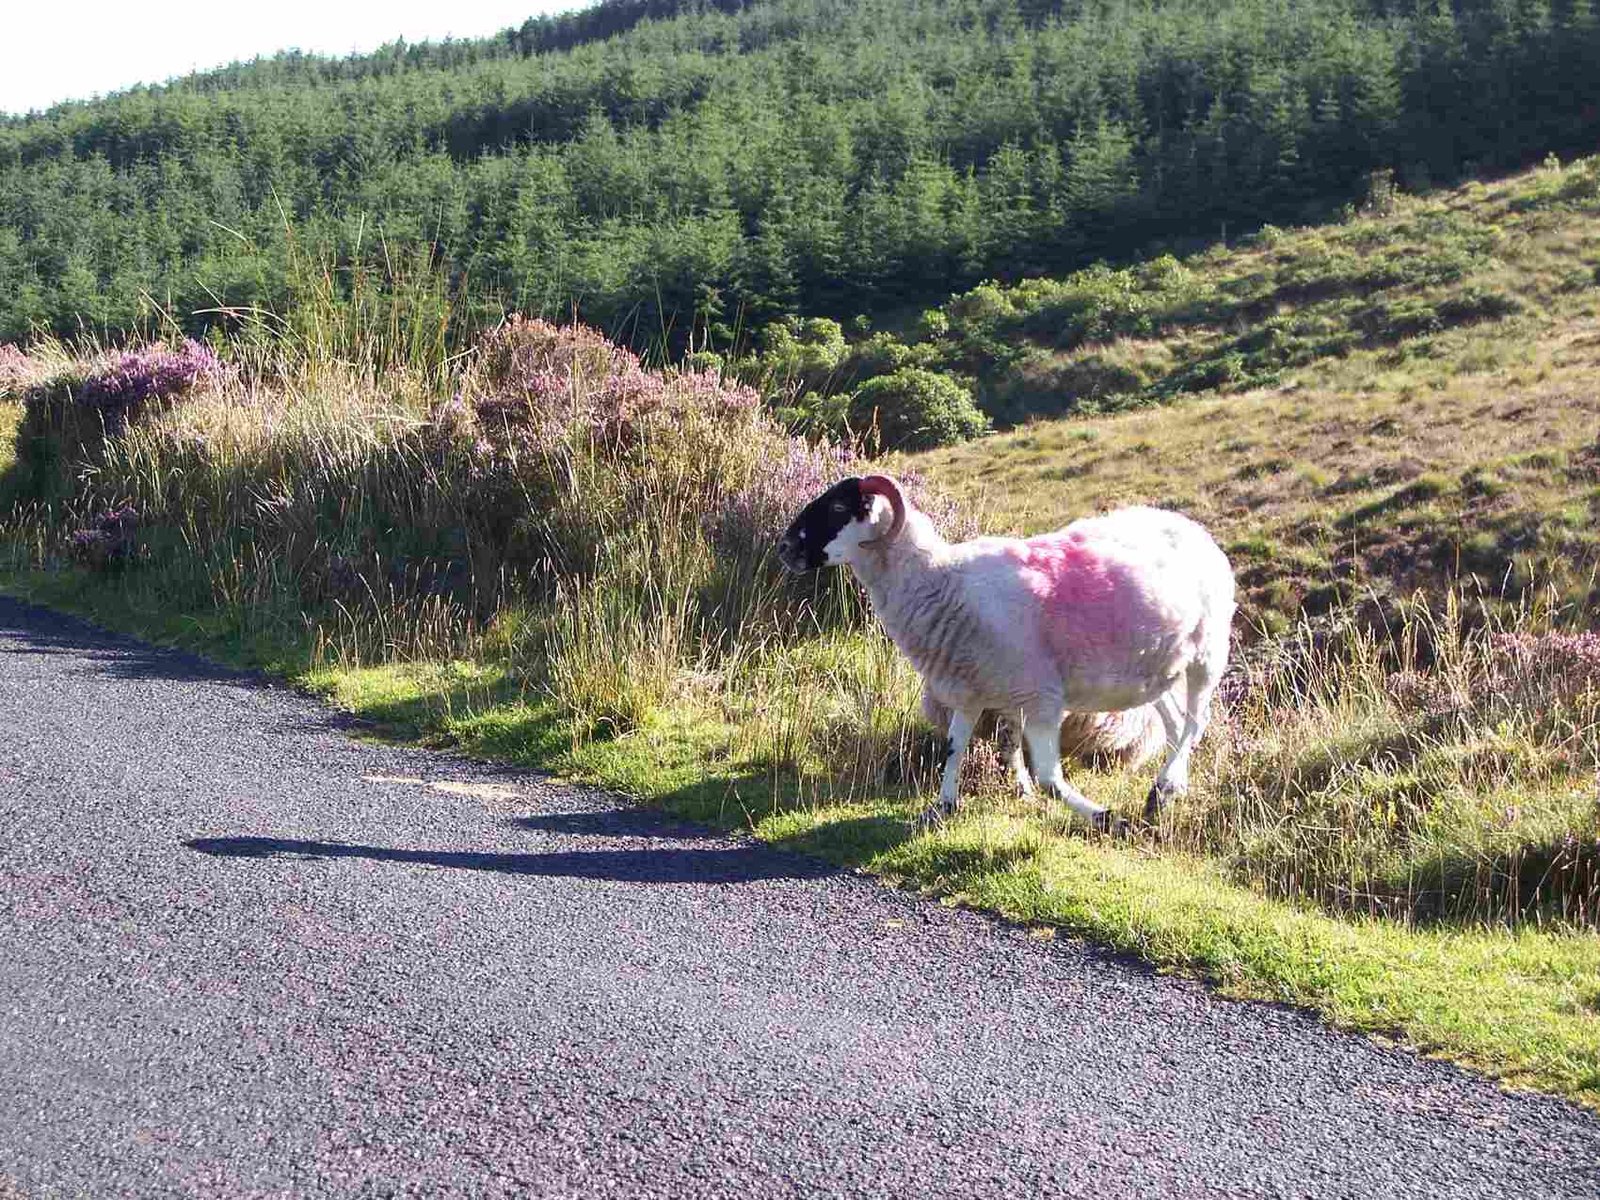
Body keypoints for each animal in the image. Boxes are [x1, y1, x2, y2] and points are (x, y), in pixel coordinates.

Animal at [777, 474, 1235, 830]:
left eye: (839, 506)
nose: (784, 548)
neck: (941, 584)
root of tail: (1192, 528)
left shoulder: (1040, 697)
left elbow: (1049, 777)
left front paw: (1106, 818)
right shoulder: (973, 691)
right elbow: (961, 748)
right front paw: (945, 807)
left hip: (1207, 653)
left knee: (1196, 721)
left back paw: (1164, 789)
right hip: (1157, 669)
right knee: (1176, 724)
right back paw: (1168, 792)